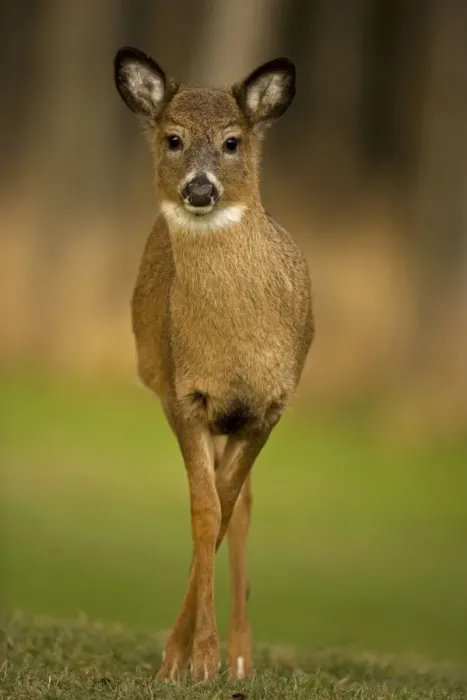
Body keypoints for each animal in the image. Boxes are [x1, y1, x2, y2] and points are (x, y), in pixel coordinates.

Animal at [114, 46, 314, 683]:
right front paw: (192, 659)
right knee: (232, 505)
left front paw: (203, 656)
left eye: (232, 141)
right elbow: (206, 512)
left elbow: (224, 510)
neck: (236, 354)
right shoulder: (184, 396)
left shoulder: (269, 407)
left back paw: (244, 655)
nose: (200, 189)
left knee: (244, 506)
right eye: (173, 138)